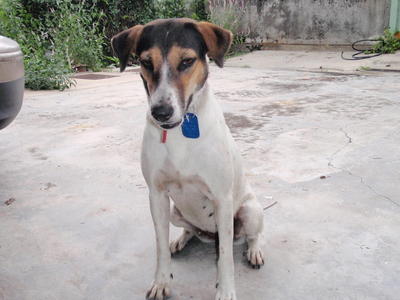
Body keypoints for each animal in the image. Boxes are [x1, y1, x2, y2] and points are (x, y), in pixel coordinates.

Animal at [111, 18, 264, 300]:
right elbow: (159, 247)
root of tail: (209, 234)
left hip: (250, 211)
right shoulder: (157, 195)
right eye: (146, 62)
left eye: (186, 61)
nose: (160, 112)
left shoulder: (222, 198)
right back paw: (180, 240)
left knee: (252, 235)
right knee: (189, 229)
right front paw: (161, 282)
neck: (180, 130)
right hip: (175, 212)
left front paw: (225, 291)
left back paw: (254, 251)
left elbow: (225, 258)